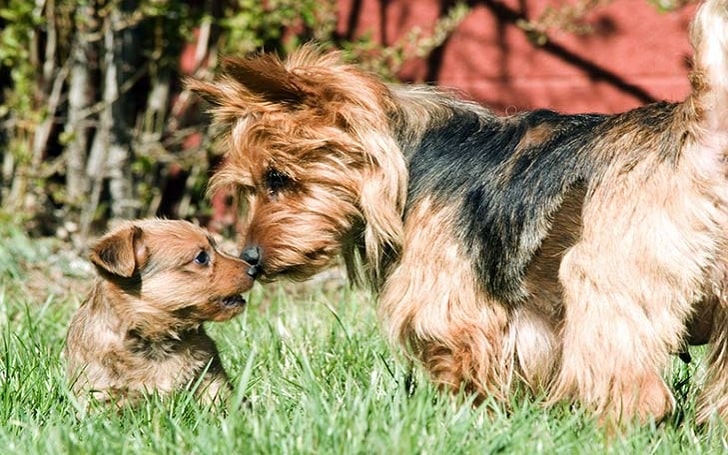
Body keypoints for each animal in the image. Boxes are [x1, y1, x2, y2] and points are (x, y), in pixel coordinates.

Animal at [189, 0, 728, 426]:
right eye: (250, 188)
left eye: (278, 178)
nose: (250, 258)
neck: (405, 161)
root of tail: (697, 127)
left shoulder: (450, 307)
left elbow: (464, 369)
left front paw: (464, 423)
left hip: (603, 280)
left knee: (630, 385)